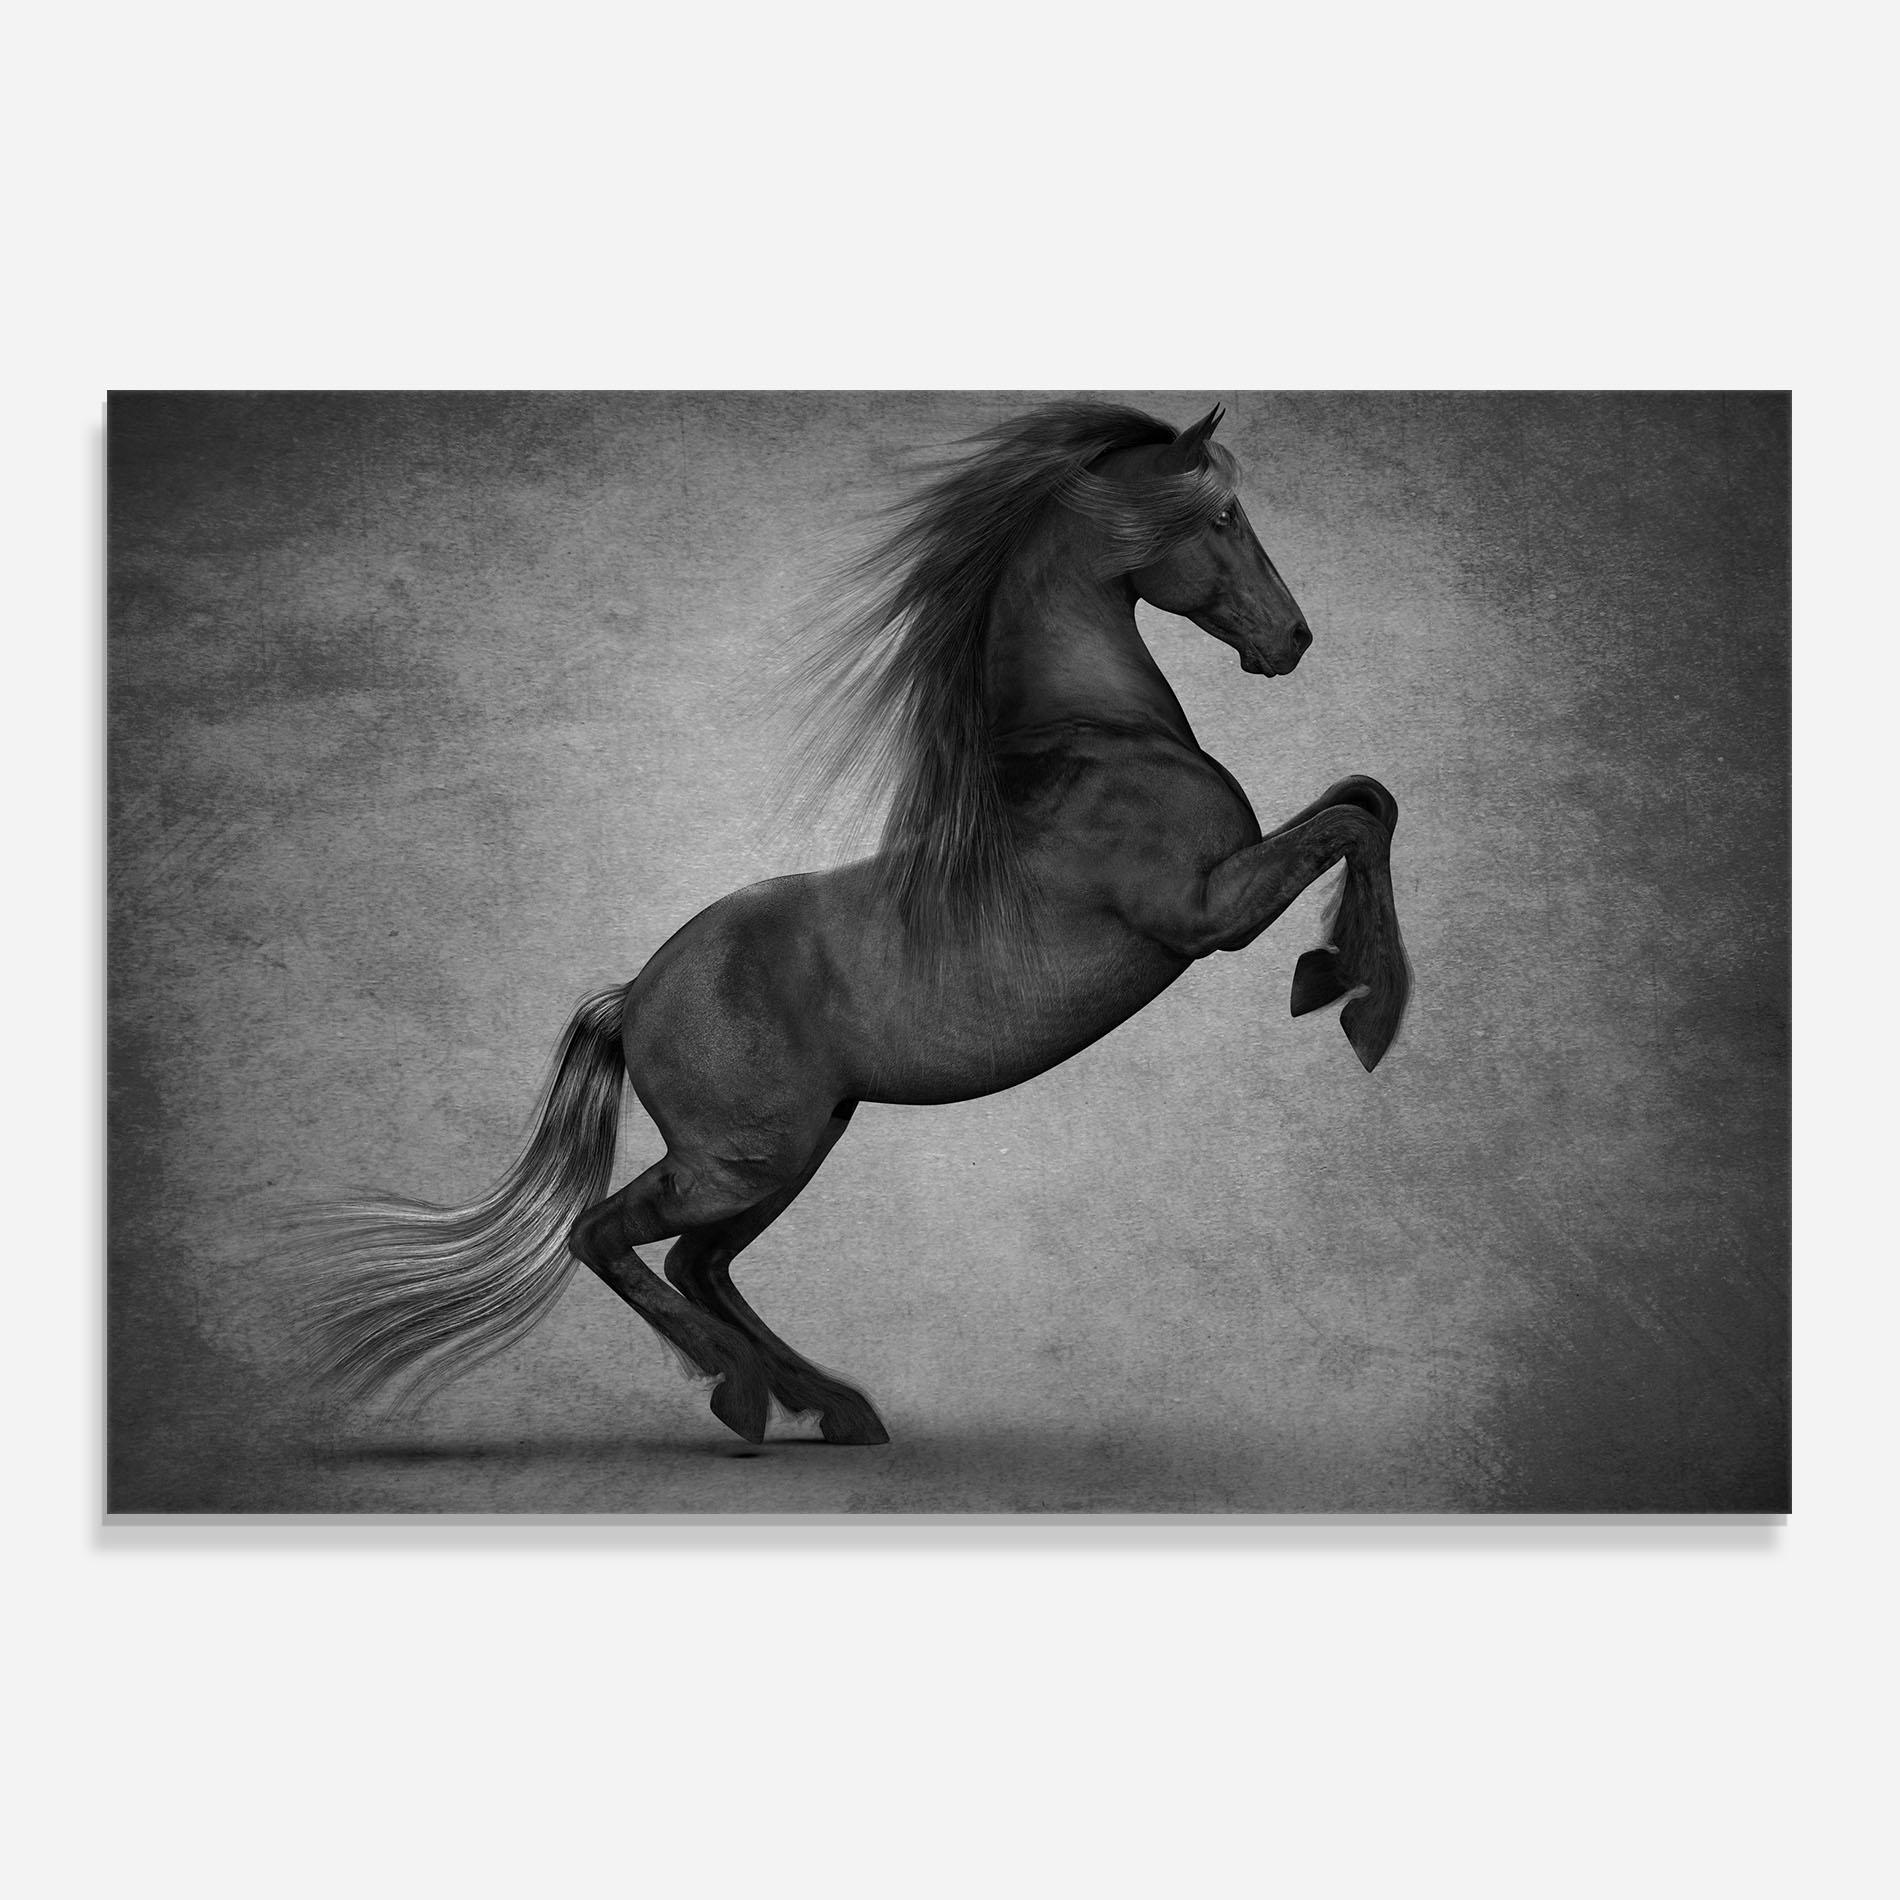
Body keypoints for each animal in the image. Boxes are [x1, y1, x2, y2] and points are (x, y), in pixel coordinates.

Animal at [306, 400, 1412, 1447]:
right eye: (1222, 515)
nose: (1293, 640)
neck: (1100, 742)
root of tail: (633, 995)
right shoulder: (1204, 913)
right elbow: (1352, 819)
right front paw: (1358, 1004)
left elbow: (1368, 797)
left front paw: (1340, 974)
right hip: (740, 1160)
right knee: (606, 1235)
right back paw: (745, 1394)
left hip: (791, 1152)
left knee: (699, 1262)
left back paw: (832, 1407)